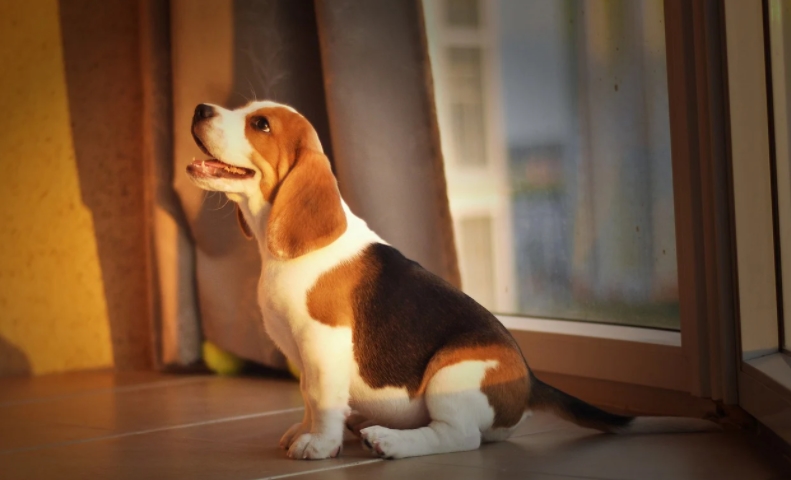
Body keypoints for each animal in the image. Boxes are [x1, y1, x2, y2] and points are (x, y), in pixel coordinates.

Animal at [186, 99, 716, 460]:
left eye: (260, 124)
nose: (200, 107)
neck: (281, 249)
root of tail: (530, 381)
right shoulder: (303, 355)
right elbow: (306, 399)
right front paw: (304, 431)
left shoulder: (321, 345)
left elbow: (321, 398)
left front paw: (318, 445)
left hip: (451, 374)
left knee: (460, 438)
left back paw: (391, 442)